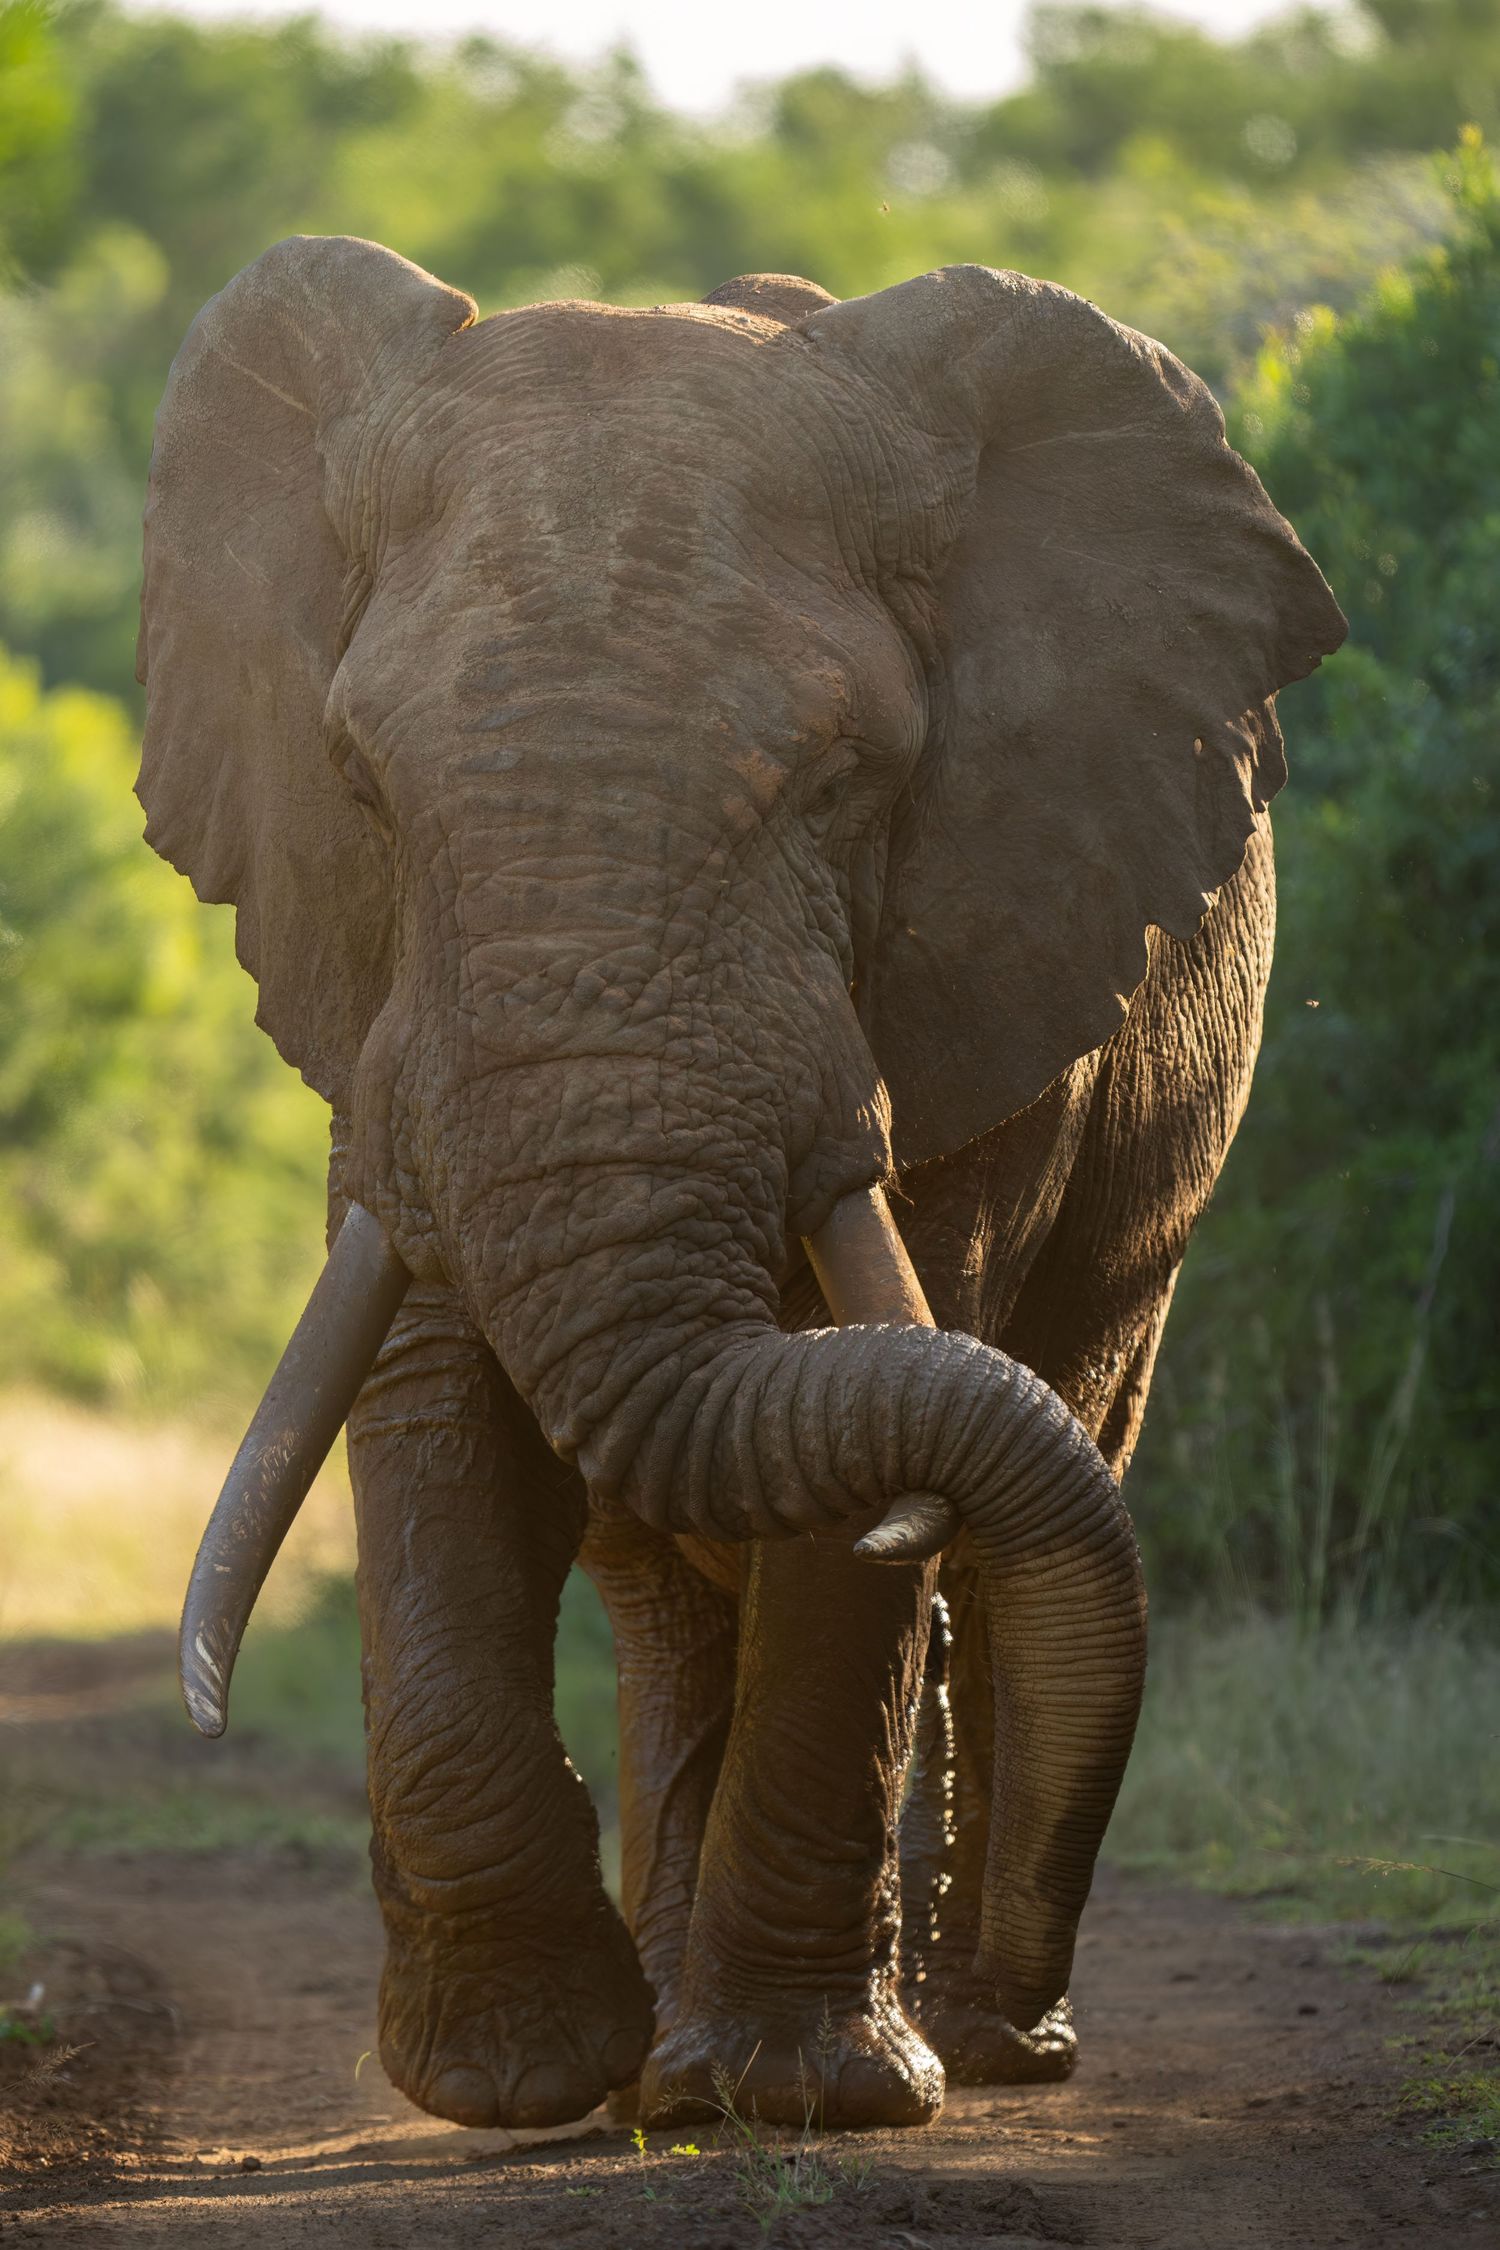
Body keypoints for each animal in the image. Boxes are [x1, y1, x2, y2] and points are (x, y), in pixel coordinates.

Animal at [137, 240, 1345, 2135]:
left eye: (849, 784)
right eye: (358, 784)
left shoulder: (978, 967)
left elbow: (885, 1440)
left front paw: (813, 2095)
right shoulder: (375, 996)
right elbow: (422, 1391)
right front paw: (515, 2078)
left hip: (1156, 1192)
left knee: (1045, 1452)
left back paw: (967, 2046)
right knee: (679, 1579)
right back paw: (689, 2065)